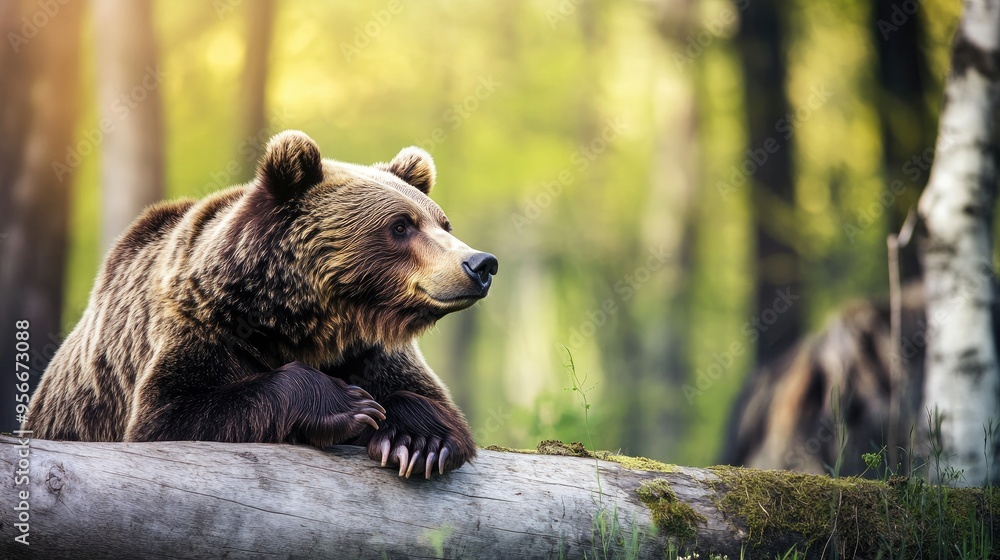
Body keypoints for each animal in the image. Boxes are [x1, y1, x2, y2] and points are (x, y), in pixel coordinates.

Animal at [23, 130, 498, 478]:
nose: (480, 263)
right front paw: (349, 404)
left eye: (443, 223)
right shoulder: (200, 326)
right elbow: (172, 415)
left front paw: (416, 442)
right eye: (400, 225)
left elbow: (431, 400)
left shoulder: (370, 350)